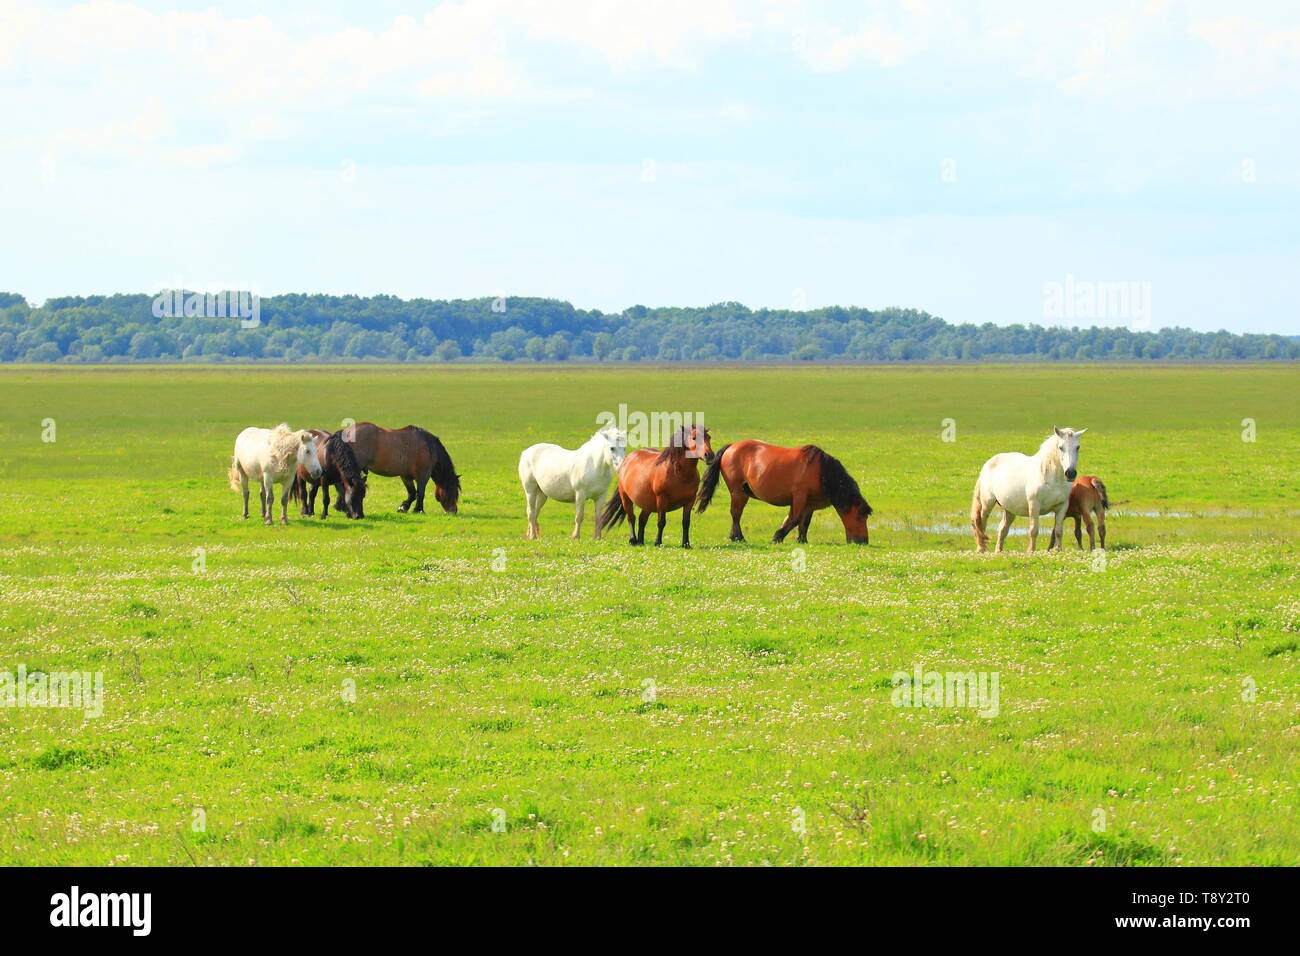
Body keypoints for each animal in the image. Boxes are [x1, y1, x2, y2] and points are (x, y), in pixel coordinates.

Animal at [696, 440, 872, 544]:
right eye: (860, 516)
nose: (863, 541)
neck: (822, 471)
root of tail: (731, 447)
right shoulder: (799, 497)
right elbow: (794, 519)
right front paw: (777, 536)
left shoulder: (810, 503)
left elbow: (804, 522)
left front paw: (802, 540)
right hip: (738, 492)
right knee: (735, 514)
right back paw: (738, 537)